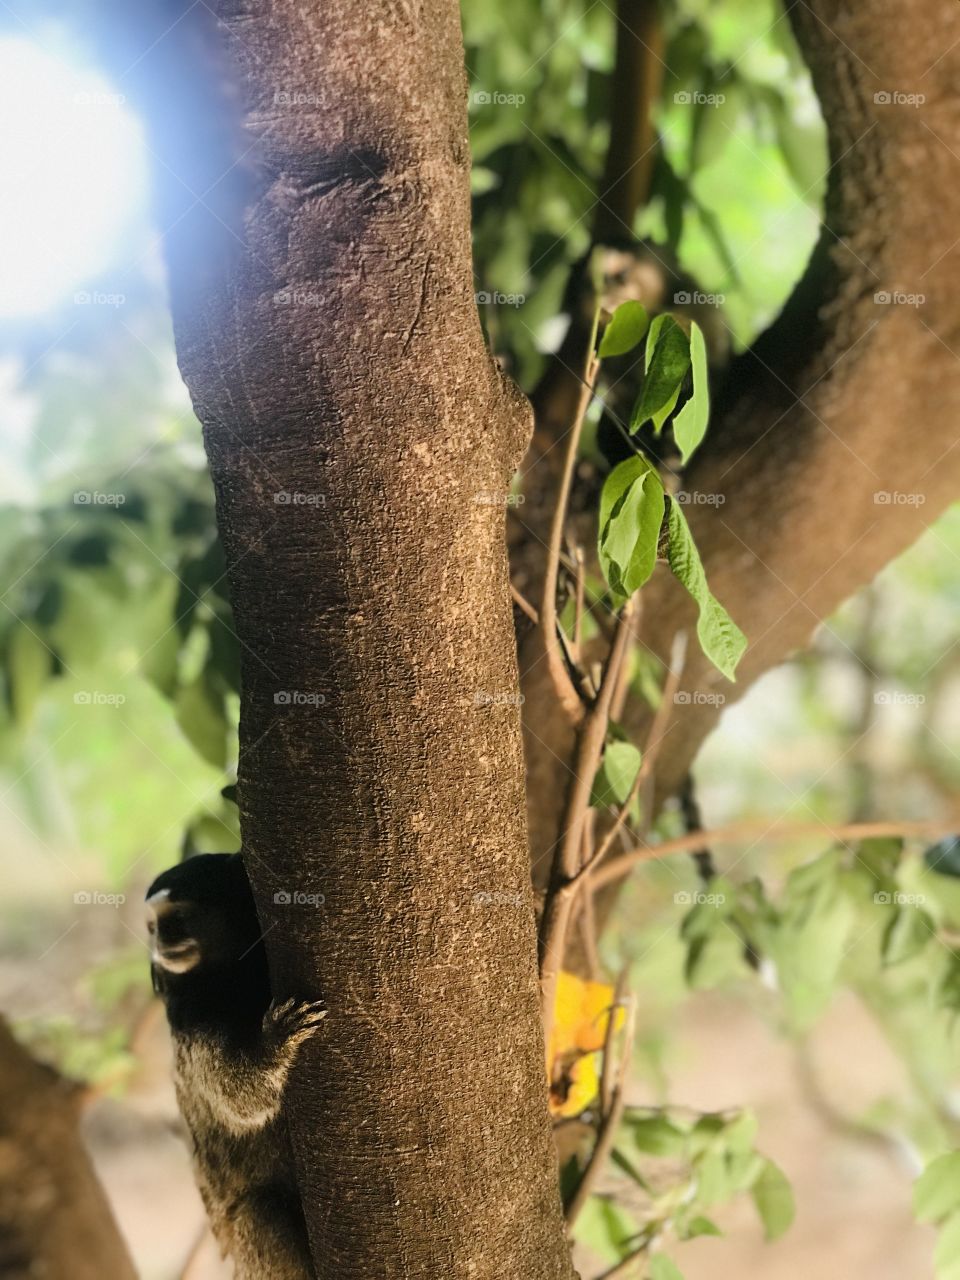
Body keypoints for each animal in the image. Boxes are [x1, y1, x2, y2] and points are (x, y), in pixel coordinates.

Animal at [146, 852, 326, 1279]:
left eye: (178, 919)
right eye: (153, 926)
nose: (161, 942)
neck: (232, 979)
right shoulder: (191, 1026)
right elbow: (239, 1096)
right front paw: (274, 1045)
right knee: (260, 1214)